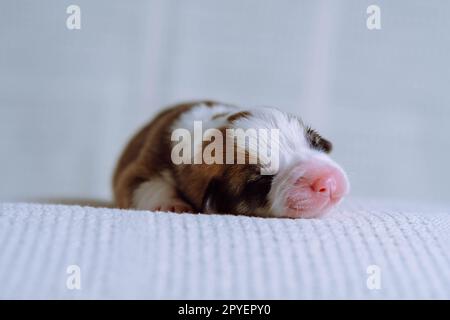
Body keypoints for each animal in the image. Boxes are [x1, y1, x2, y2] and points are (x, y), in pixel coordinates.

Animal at [111, 101, 348, 219]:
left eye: (314, 144)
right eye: (262, 180)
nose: (327, 181)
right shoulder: (143, 164)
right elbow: (145, 185)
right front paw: (173, 204)